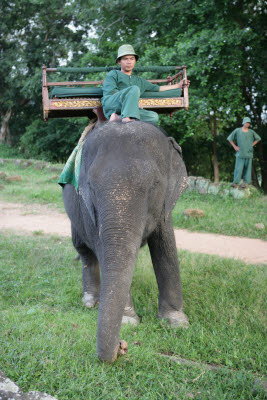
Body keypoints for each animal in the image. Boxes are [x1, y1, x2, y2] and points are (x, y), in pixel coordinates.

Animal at [62, 120, 189, 360]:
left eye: (155, 185)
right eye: (91, 188)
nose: (122, 346)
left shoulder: (165, 207)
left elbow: (166, 249)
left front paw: (177, 322)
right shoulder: (87, 208)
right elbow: (103, 250)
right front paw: (129, 322)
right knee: (84, 251)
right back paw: (90, 301)